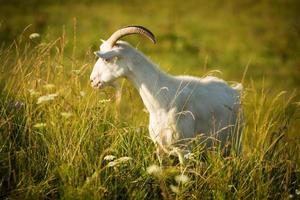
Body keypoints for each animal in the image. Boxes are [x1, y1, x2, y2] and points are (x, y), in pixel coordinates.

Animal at [90, 25, 243, 155]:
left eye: (107, 59)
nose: (92, 80)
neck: (162, 101)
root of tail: (235, 90)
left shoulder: (183, 149)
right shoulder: (160, 148)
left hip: (236, 141)